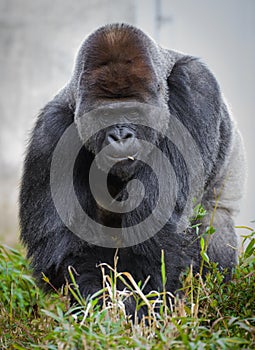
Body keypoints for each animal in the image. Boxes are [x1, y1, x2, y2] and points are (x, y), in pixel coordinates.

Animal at [18, 22, 246, 312]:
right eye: (105, 116)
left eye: (134, 113)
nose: (120, 135)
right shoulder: (51, 130)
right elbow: (68, 248)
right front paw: (106, 306)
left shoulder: (196, 88)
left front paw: (144, 307)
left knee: (215, 224)